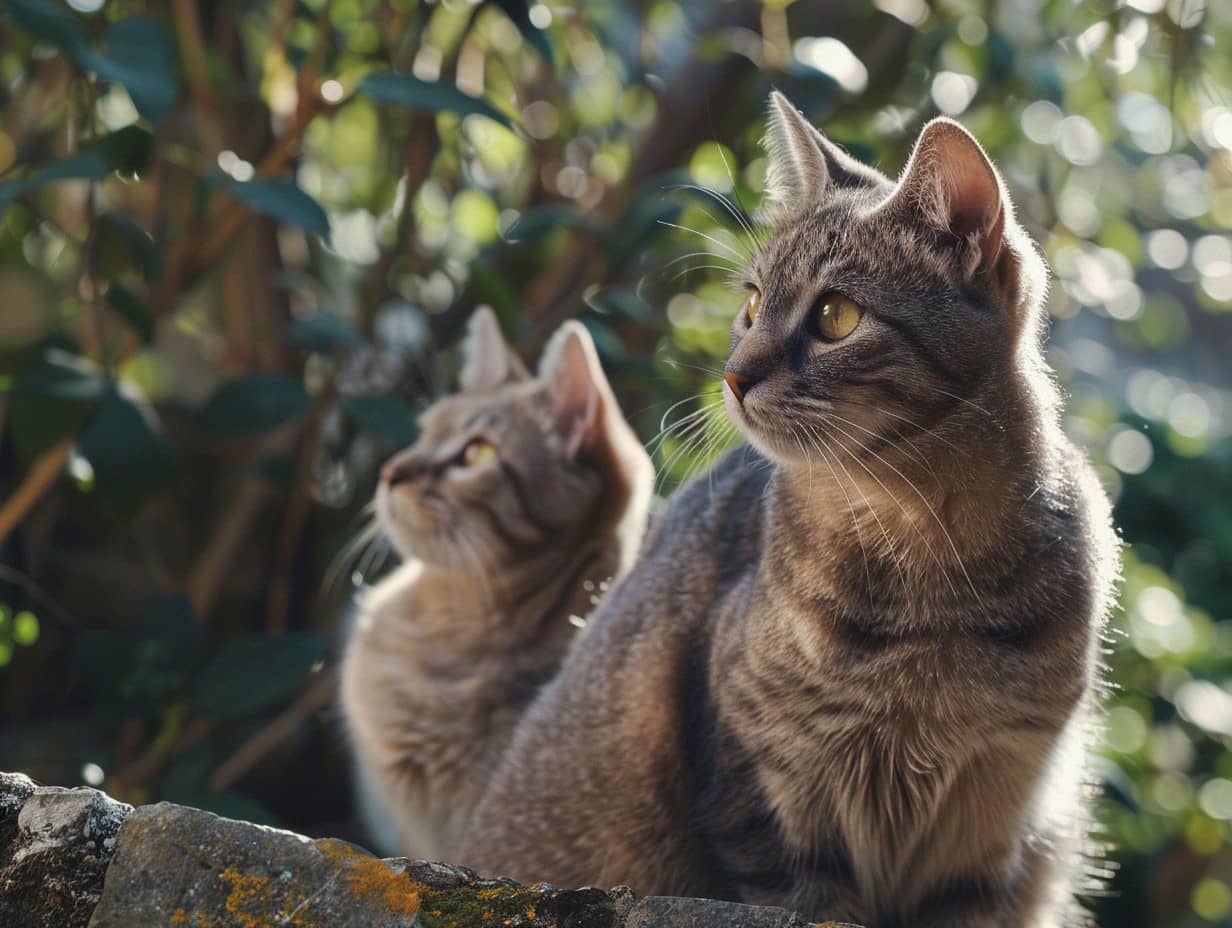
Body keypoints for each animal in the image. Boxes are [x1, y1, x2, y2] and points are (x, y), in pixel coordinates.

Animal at [460, 96, 1118, 926]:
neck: (929, 565)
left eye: (835, 315)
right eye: (750, 302)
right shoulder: (765, 798)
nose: (733, 376)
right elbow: (808, 896)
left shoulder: (991, 819)